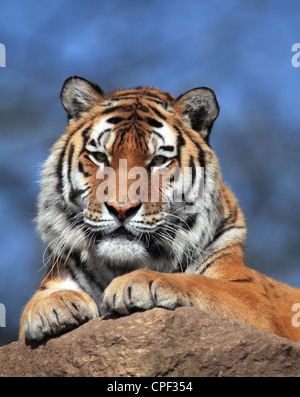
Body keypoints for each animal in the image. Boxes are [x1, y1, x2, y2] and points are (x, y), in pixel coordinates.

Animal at [19, 76, 300, 340]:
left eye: (158, 161)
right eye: (100, 157)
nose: (121, 209)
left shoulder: (251, 298)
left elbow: (200, 283)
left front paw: (137, 282)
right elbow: (35, 303)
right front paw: (56, 305)